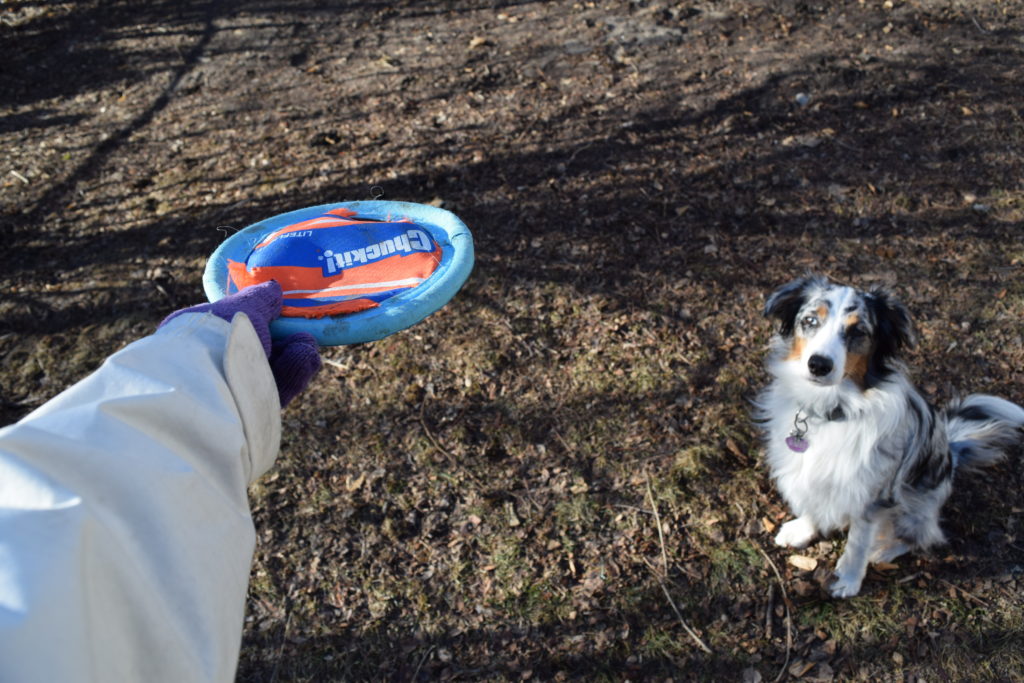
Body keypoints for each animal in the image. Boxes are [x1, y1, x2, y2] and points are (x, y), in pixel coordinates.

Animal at [753, 276, 1024, 598]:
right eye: (810, 321)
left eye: (858, 331)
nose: (818, 365)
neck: (832, 410)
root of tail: (951, 452)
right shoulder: (805, 470)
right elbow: (810, 499)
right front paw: (802, 529)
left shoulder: (873, 492)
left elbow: (858, 541)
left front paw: (847, 579)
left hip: (914, 504)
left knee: (923, 536)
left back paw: (883, 551)